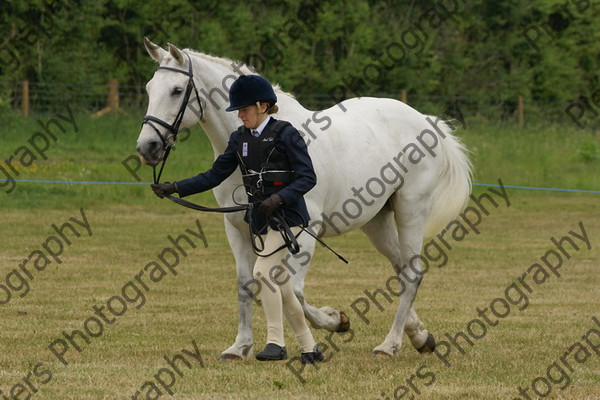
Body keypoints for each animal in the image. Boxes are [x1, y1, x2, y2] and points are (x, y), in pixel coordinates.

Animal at [138, 38, 472, 360]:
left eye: (176, 90)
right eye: (149, 89)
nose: (147, 147)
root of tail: (425, 121)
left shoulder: (303, 231)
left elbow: (293, 291)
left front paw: (336, 321)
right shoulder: (239, 230)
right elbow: (247, 286)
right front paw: (240, 347)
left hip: (411, 211)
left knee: (412, 274)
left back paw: (389, 345)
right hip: (377, 222)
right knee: (401, 271)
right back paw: (419, 337)